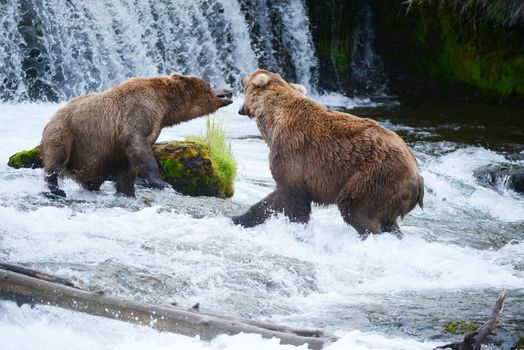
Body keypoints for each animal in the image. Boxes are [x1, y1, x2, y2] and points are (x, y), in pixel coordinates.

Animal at [42, 72, 234, 197]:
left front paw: (128, 192)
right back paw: (56, 188)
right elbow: (140, 147)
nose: (229, 90)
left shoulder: (122, 145)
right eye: (208, 84)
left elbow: (127, 167)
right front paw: (161, 182)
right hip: (66, 132)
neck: (165, 107)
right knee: (57, 158)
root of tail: (52, 116)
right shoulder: (137, 113)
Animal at [231, 68, 424, 238]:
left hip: (376, 178)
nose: (240, 77)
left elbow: (289, 195)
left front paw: (239, 217)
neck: (272, 120)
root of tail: (417, 175)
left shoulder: (292, 151)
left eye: (251, 75)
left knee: (357, 210)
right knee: (388, 222)